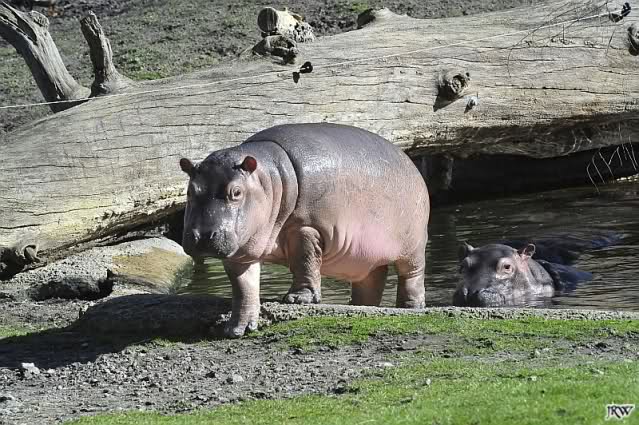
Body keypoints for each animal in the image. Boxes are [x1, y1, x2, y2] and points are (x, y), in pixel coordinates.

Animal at [179, 123, 430, 337]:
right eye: (190, 191)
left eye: (236, 192)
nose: (202, 236)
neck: (269, 180)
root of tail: (410, 162)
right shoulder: (241, 250)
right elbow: (243, 287)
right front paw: (236, 328)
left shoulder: (306, 227)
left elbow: (305, 261)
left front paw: (298, 299)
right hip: (365, 257)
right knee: (371, 280)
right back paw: (360, 306)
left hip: (414, 246)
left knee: (412, 276)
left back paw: (410, 307)